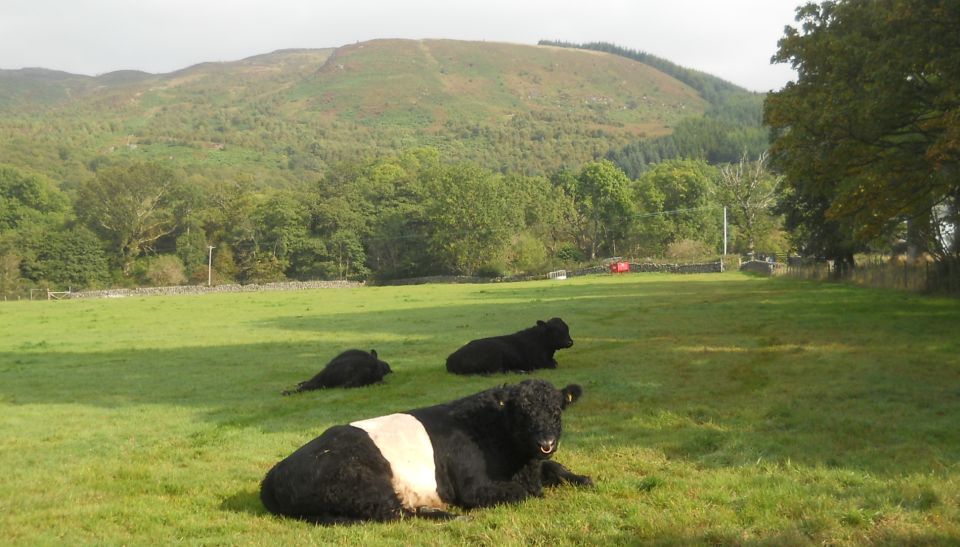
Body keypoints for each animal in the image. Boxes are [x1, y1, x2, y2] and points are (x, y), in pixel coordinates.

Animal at [262, 378, 592, 524]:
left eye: (557, 412)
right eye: (521, 413)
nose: (546, 442)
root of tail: (274, 474)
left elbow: (555, 468)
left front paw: (583, 479)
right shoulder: (474, 488)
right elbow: (521, 493)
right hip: (362, 483)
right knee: (394, 513)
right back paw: (450, 516)